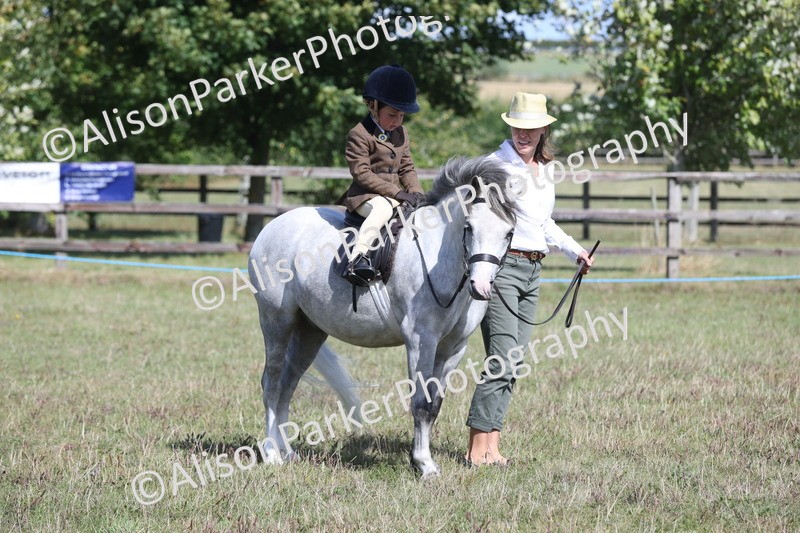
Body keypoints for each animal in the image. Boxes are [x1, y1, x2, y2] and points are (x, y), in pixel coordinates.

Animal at [248, 156, 517, 477]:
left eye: (508, 232)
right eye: (469, 227)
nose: (481, 286)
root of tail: (272, 227)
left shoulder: (453, 348)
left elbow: (434, 404)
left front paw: (420, 459)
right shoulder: (420, 340)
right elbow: (421, 403)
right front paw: (424, 465)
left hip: (309, 331)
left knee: (288, 386)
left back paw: (287, 452)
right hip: (276, 321)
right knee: (272, 383)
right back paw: (271, 454)